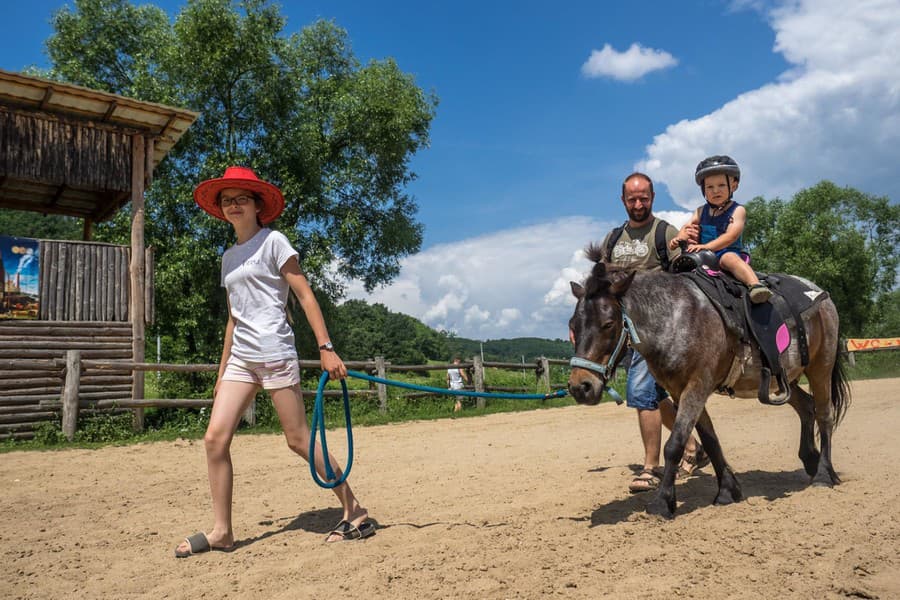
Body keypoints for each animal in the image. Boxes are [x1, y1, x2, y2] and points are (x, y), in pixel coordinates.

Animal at [568, 246, 852, 516]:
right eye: (573, 325)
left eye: (608, 324)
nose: (580, 387)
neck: (675, 317)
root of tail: (820, 293)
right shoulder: (680, 390)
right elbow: (711, 440)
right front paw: (727, 490)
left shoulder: (697, 386)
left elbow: (675, 444)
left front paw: (662, 502)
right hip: (786, 379)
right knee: (806, 407)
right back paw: (811, 459)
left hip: (820, 366)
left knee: (824, 414)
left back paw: (824, 474)